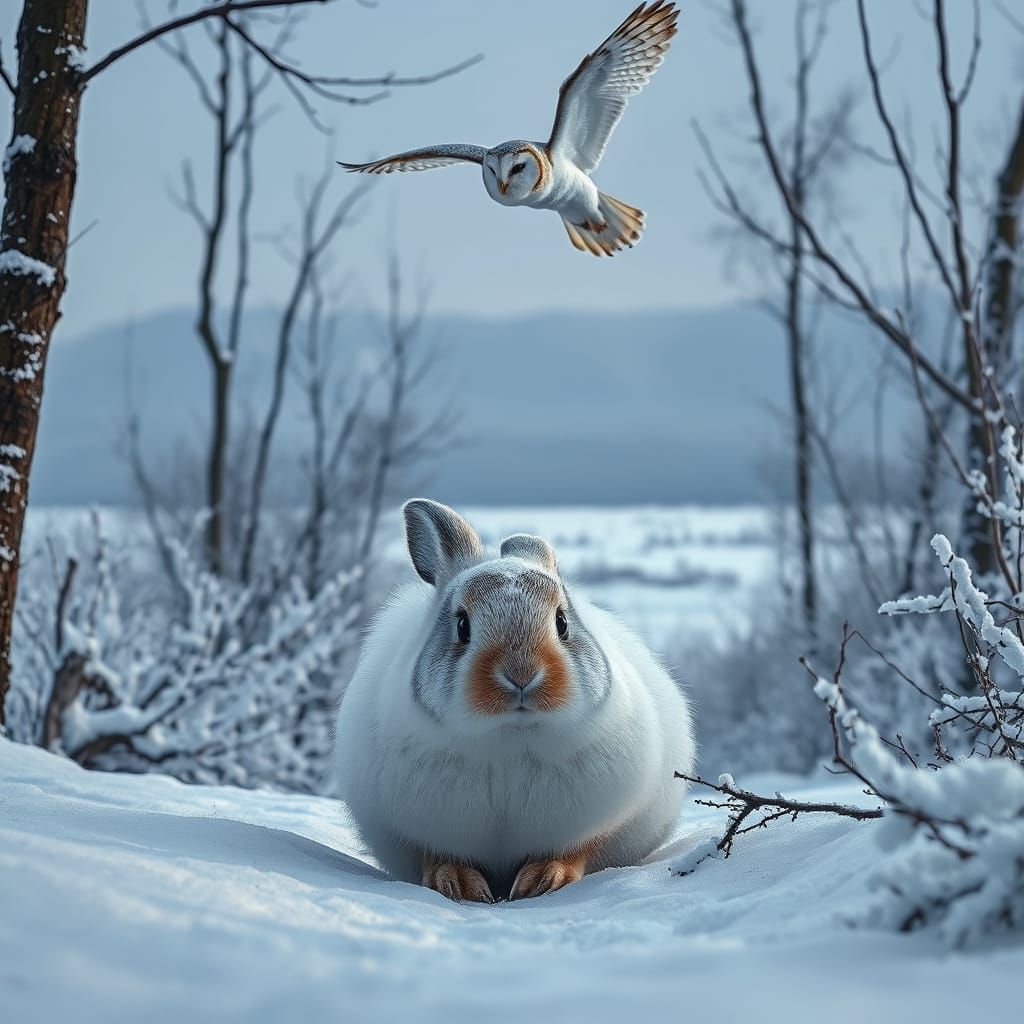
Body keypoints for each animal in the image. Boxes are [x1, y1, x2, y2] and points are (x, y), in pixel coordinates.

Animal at [332, 499, 696, 902]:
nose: (521, 675)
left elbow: (574, 850)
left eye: (562, 622)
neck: (509, 735)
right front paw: (459, 885)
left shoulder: (594, 820)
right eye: (462, 626)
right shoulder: (417, 826)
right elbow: (437, 855)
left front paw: (543, 881)